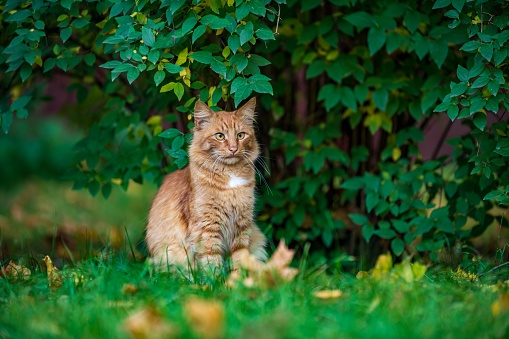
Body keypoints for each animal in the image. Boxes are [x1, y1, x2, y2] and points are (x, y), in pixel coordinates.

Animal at [144, 98, 266, 270]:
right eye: (220, 136)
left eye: (240, 135)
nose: (233, 148)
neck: (230, 177)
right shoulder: (207, 227)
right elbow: (211, 260)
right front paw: (217, 277)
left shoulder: (242, 225)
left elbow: (240, 257)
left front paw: (238, 276)